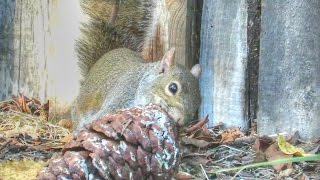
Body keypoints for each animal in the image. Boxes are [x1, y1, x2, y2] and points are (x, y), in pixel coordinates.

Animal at [72, 0, 201, 131]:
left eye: (198, 102)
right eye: (173, 88)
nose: (180, 120)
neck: (140, 82)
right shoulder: (122, 95)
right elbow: (100, 117)